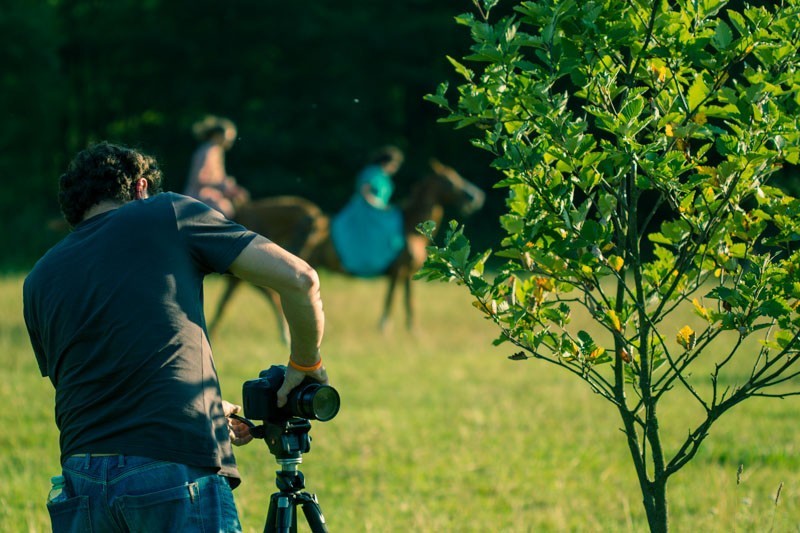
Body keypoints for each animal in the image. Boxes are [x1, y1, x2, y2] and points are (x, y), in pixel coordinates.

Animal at [206, 158, 484, 340]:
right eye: (450, 180)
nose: (476, 197)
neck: (409, 227)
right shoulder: (398, 272)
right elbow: (392, 302)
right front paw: (385, 330)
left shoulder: (406, 274)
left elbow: (408, 304)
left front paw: (412, 332)